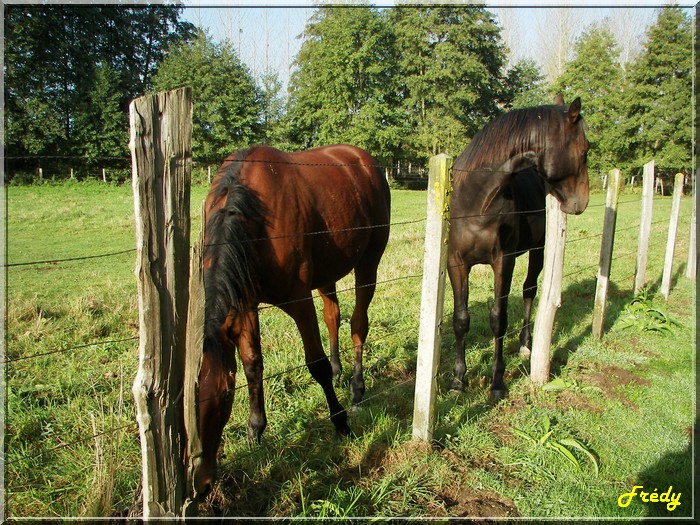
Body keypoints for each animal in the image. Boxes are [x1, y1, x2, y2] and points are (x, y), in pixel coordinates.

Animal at [194, 143, 392, 496]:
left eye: (225, 396)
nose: (202, 484)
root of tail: (364, 160)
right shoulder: (245, 302)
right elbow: (252, 364)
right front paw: (255, 429)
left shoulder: (299, 301)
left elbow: (316, 364)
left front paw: (340, 422)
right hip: (328, 270)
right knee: (333, 315)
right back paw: (341, 372)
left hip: (368, 262)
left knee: (358, 324)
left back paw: (356, 391)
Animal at [446, 97, 588, 402]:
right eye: (585, 150)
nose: (581, 202)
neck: (478, 200)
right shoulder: (456, 263)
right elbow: (461, 319)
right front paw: (458, 380)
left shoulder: (504, 261)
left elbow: (499, 319)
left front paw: (497, 383)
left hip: (539, 249)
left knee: (529, 291)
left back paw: (525, 345)